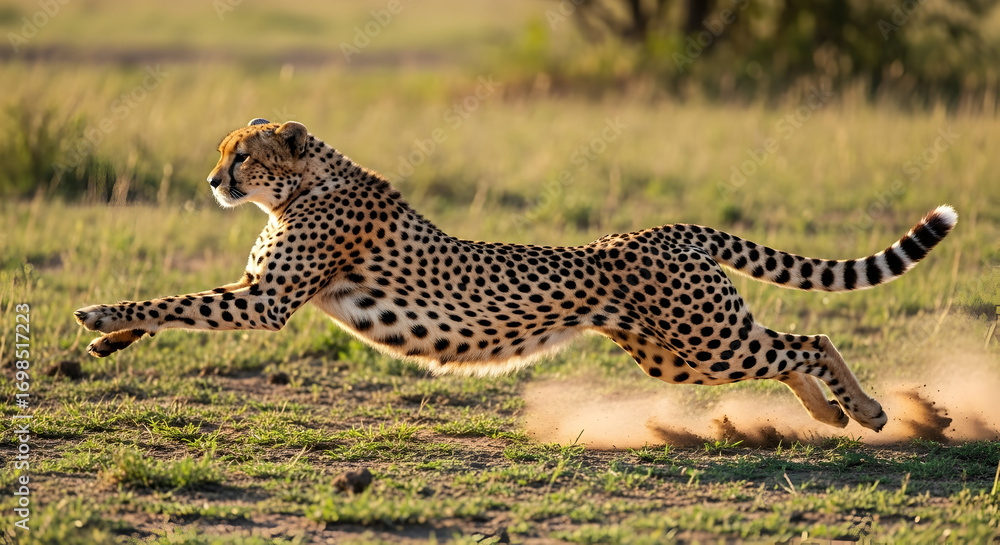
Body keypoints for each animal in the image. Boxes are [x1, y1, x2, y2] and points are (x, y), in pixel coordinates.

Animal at [75, 118, 958, 432]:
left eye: (241, 155)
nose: (212, 181)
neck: (306, 183)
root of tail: (658, 227)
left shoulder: (263, 302)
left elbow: (176, 298)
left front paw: (98, 313)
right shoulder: (255, 294)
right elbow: (177, 305)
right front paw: (111, 341)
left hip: (703, 339)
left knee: (810, 337)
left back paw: (872, 409)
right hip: (679, 350)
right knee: (788, 344)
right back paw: (832, 413)